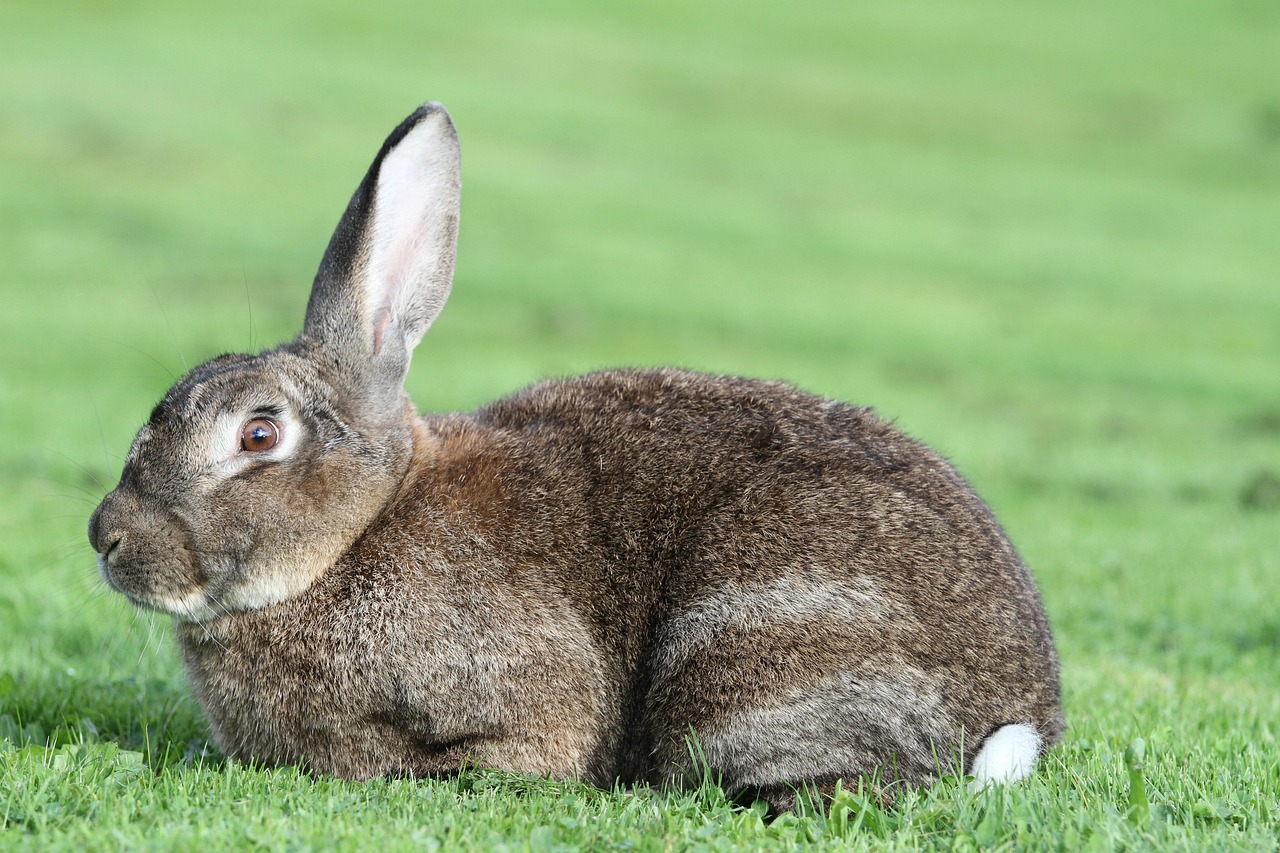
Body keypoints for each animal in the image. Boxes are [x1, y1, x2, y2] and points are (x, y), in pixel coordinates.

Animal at [88, 102, 1063, 811]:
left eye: (259, 435)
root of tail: (1023, 714)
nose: (107, 536)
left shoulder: (522, 699)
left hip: (755, 648)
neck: (358, 533)